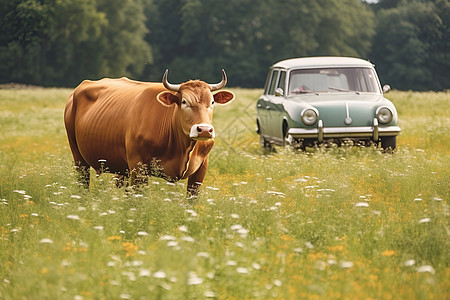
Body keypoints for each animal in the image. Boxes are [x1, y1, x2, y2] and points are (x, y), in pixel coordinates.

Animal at [65, 70, 237, 197]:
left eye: (212, 102)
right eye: (184, 102)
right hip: (78, 157)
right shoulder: (138, 167)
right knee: (83, 184)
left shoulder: (201, 169)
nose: (204, 129)